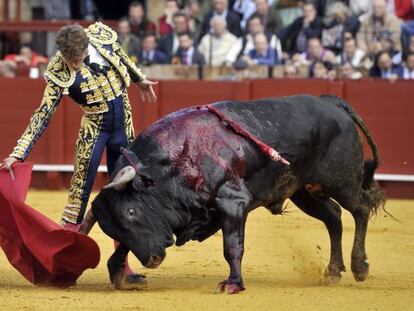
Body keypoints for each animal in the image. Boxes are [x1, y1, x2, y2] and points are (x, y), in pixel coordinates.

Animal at [89, 94, 386, 292]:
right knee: (333, 216)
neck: (176, 161)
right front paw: (120, 275)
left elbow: (232, 246)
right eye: (111, 228)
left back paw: (360, 266)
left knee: (359, 209)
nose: (152, 259)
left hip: (341, 181)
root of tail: (332, 102)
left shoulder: (232, 202)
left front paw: (233, 283)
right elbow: (123, 248)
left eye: (131, 211)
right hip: (303, 191)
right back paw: (333, 271)